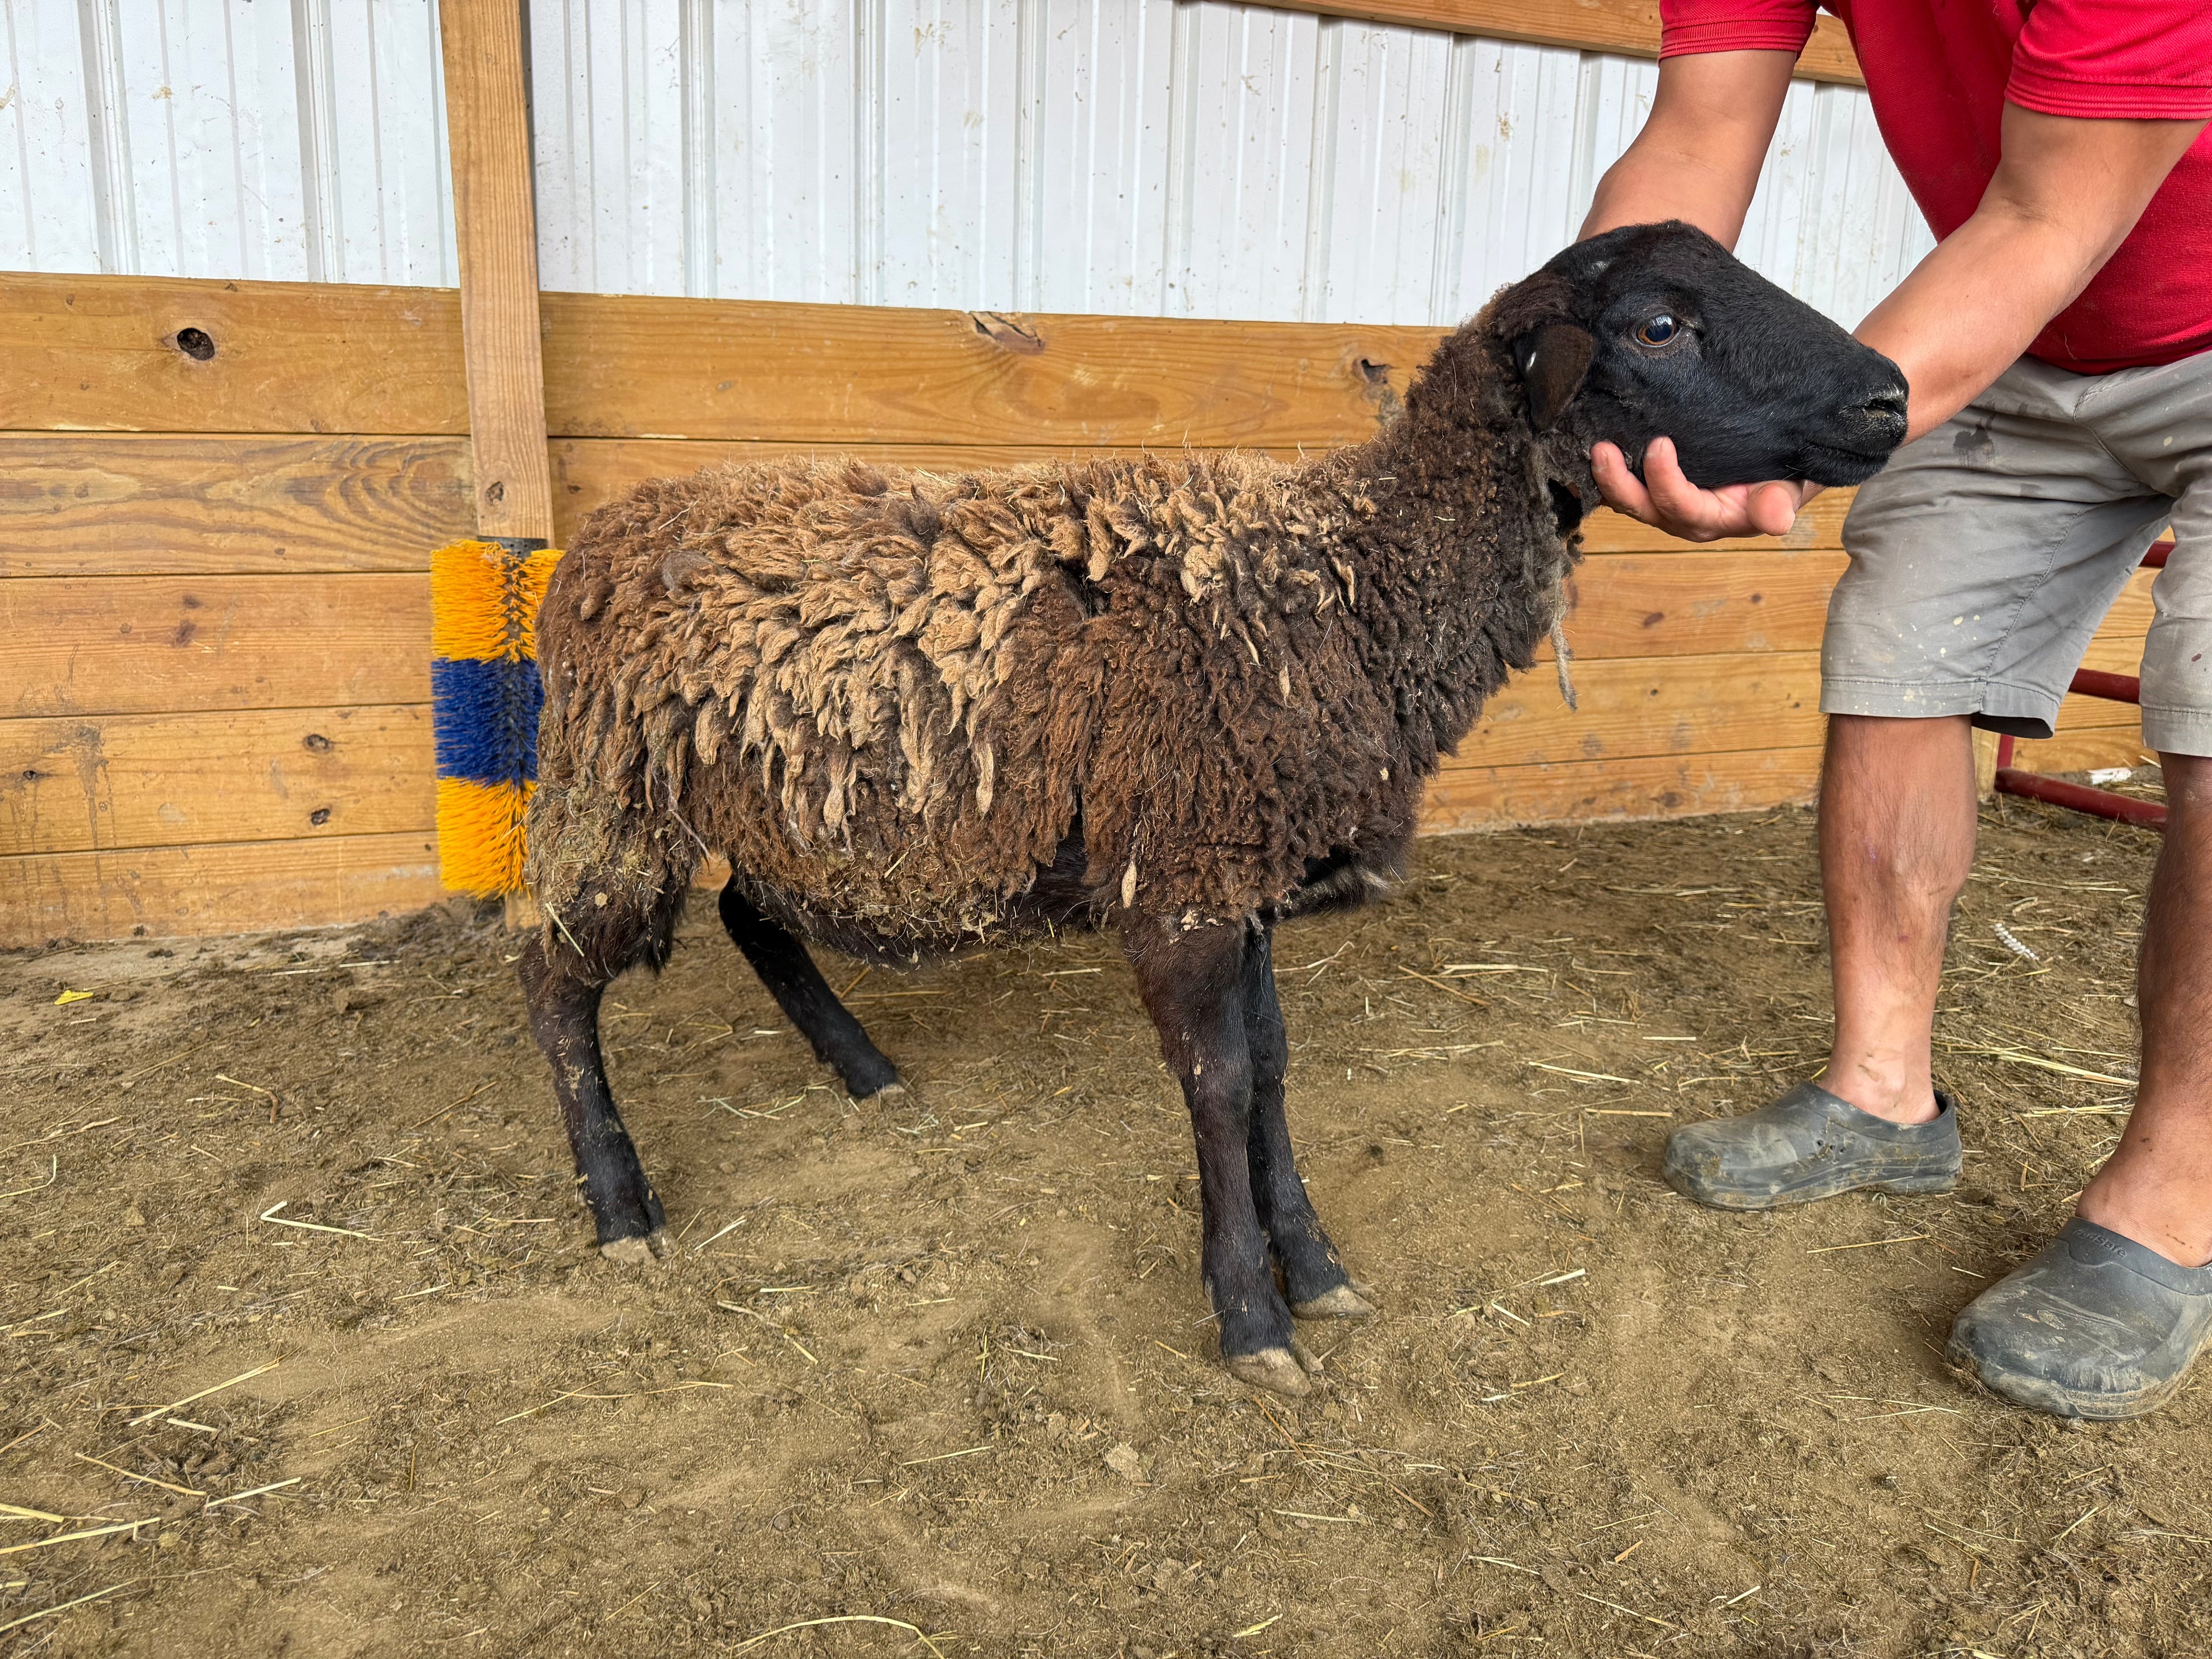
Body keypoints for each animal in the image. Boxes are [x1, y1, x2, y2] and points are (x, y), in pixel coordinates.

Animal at [518, 221, 1907, 1396]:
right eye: (1662, 325)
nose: (1892, 398)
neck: (1350, 588)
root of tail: (608, 529)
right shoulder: (1181, 884)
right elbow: (1220, 1083)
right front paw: (1252, 1317)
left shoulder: (1247, 881)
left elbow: (1276, 1070)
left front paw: (1320, 1268)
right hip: (611, 791)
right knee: (555, 980)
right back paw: (620, 1206)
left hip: (785, 803)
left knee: (751, 916)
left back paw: (864, 1071)